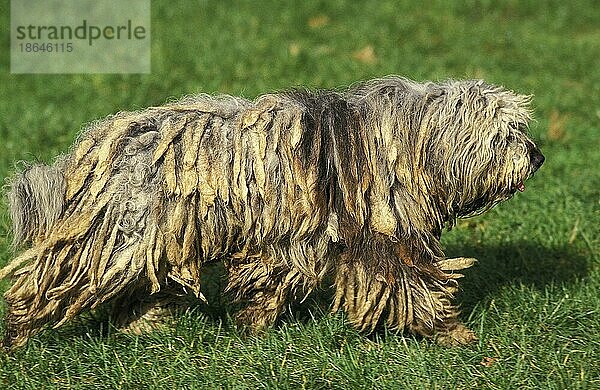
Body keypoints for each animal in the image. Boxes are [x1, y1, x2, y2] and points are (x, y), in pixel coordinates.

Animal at [1, 75, 544, 348]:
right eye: (505, 134)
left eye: (520, 128)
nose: (537, 155)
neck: (401, 142)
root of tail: (100, 146)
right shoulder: (378, 240)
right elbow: (413, 289)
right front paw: (453, 332)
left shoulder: (293, 241)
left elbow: (272, 279)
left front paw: (253, 321)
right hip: (113, 239)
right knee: (45, 284)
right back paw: (17, 334)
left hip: (152, 242)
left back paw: (143, 324)